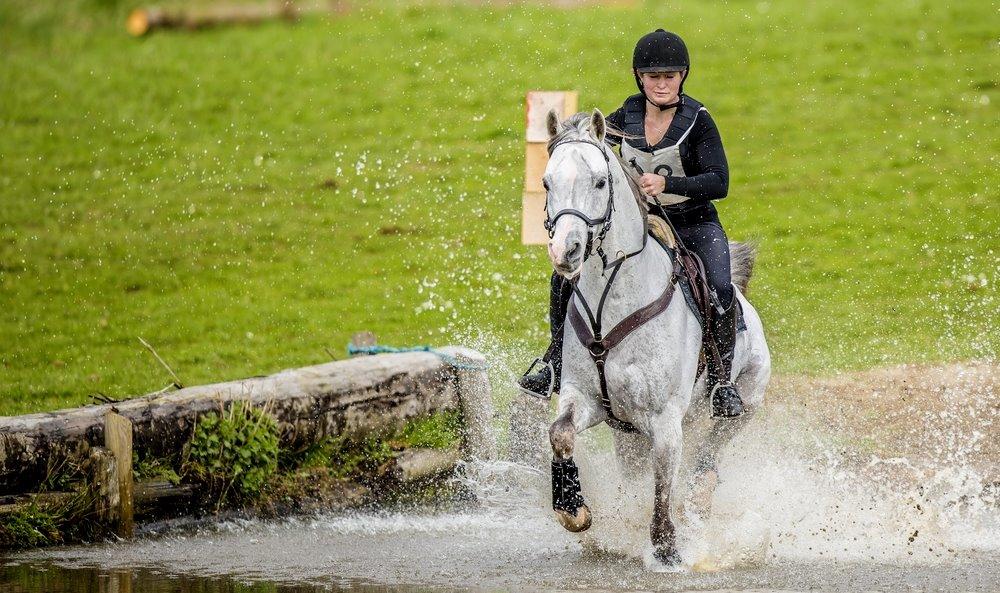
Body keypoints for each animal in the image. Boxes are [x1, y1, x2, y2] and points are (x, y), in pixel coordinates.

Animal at [544, 108, 768, 568]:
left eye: (599, 182)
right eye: (546, 183)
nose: (566, 252)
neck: (611, 302)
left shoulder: (665, 419)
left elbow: (664, 483)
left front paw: (667, 549)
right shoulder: (585, 398)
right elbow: (560, 434)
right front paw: (572, 508)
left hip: (745, 402)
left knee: (710, 453)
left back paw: (699, 499)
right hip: (627, 434)